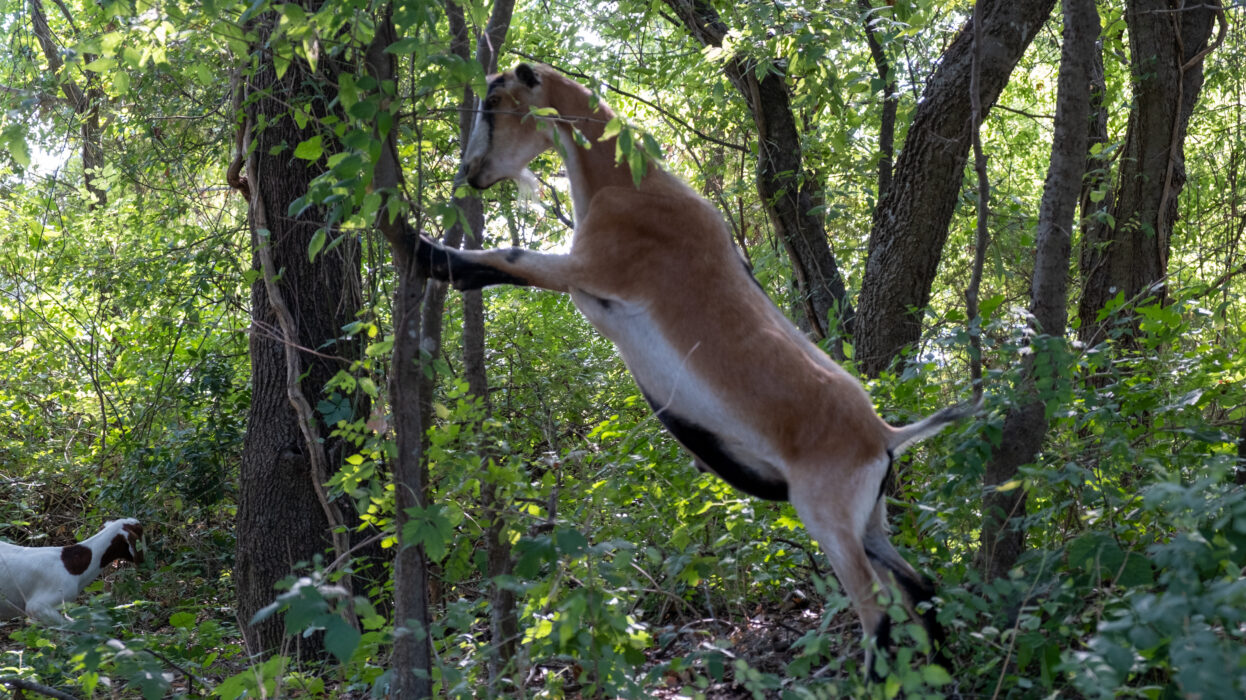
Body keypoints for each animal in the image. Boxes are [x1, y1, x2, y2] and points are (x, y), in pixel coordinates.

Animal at [412, 63, 977, 672]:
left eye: (494, 100)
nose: (471, 172)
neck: (629, 183)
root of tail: (885, 435)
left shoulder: (593, 268)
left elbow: (507, 259)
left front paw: (424, 250)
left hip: (827, 516)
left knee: (877, 615)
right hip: (869, 518)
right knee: (919, 589)